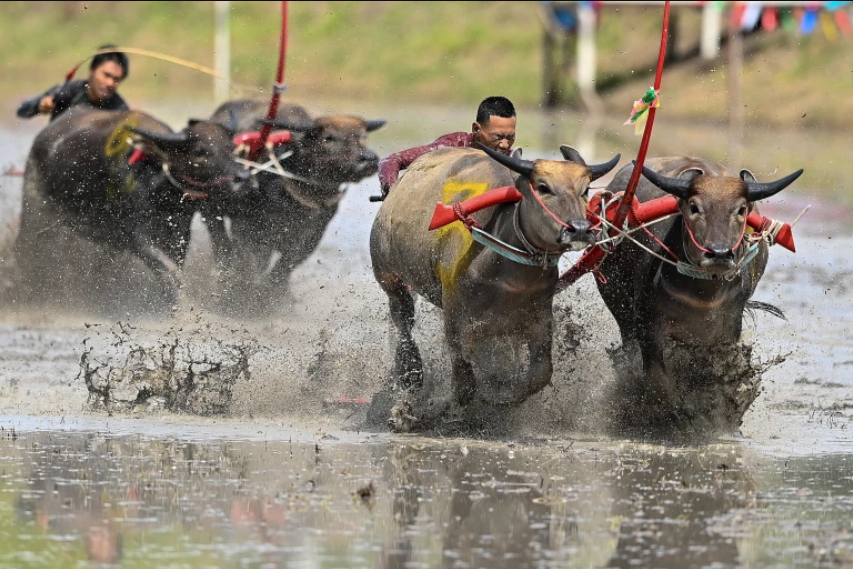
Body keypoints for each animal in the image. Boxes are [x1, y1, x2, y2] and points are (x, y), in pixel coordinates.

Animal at [15, 104, 245, 304]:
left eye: (231, 147)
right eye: (200, 152)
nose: (243, 178)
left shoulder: (179, 233)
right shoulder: (137, 237)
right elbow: (168, 271)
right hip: (35, 210)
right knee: (27, 247)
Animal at [208, 98, 384, 310]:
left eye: (363, 136)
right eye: (329, 138)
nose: (368, 158)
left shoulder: (312, 233)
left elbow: (286, 264)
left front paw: (276, 297)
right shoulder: (246, 227)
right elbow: (249, 260)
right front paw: (241, 294)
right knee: (220, 243)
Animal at [370, 144, 616, 428]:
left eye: (585, 189)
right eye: (543, 186)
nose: (579, 229)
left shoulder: (539, 319)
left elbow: (539, 377)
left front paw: (501, 397)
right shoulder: (456, 321)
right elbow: (465, 384)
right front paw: (429, 412)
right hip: (389, 278)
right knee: (403, 323)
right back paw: (411, 372)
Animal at [596, 158, 804, 432]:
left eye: (741, 209)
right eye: (694, 207)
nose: (719, 253)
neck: (702, 297)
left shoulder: (727, 329)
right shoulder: (648, 323)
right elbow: (657, 380)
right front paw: (674, 416)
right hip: (617, 302)